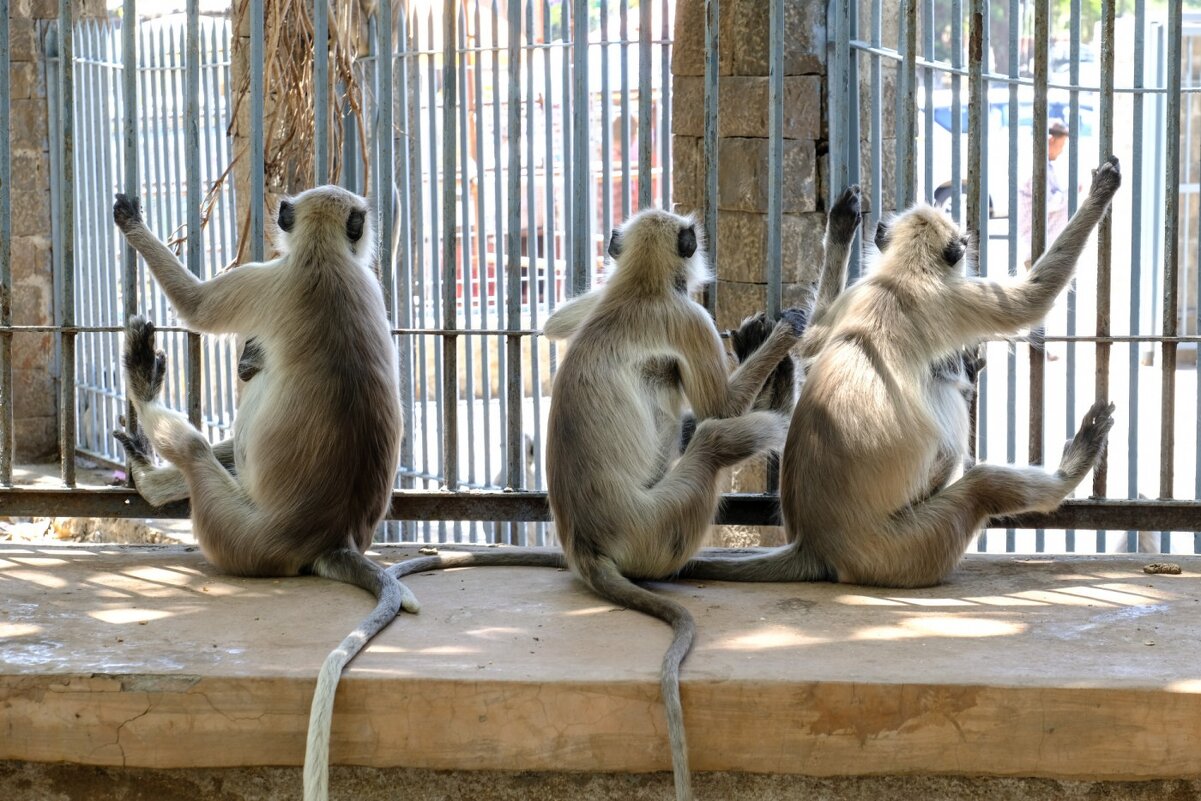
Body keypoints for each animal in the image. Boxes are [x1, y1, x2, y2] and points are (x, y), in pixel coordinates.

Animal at [112, 184, 413, 801]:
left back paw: (147, 426)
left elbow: (196, 307)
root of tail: (331, 537)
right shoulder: (369, 283)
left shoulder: (271, 278)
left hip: (238, 534)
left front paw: (131, 222)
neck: (324, 255)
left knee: (199, 450)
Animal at [686, 154, 1124, 588]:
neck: (905, 272)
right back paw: (1071, 465)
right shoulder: (951, 298)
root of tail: (813, 545)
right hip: (905, 548)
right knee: (977, 479)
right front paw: (1100, 193)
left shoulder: (860, 290)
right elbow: (1034, 298)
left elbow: (811, 340)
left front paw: (841, 226)